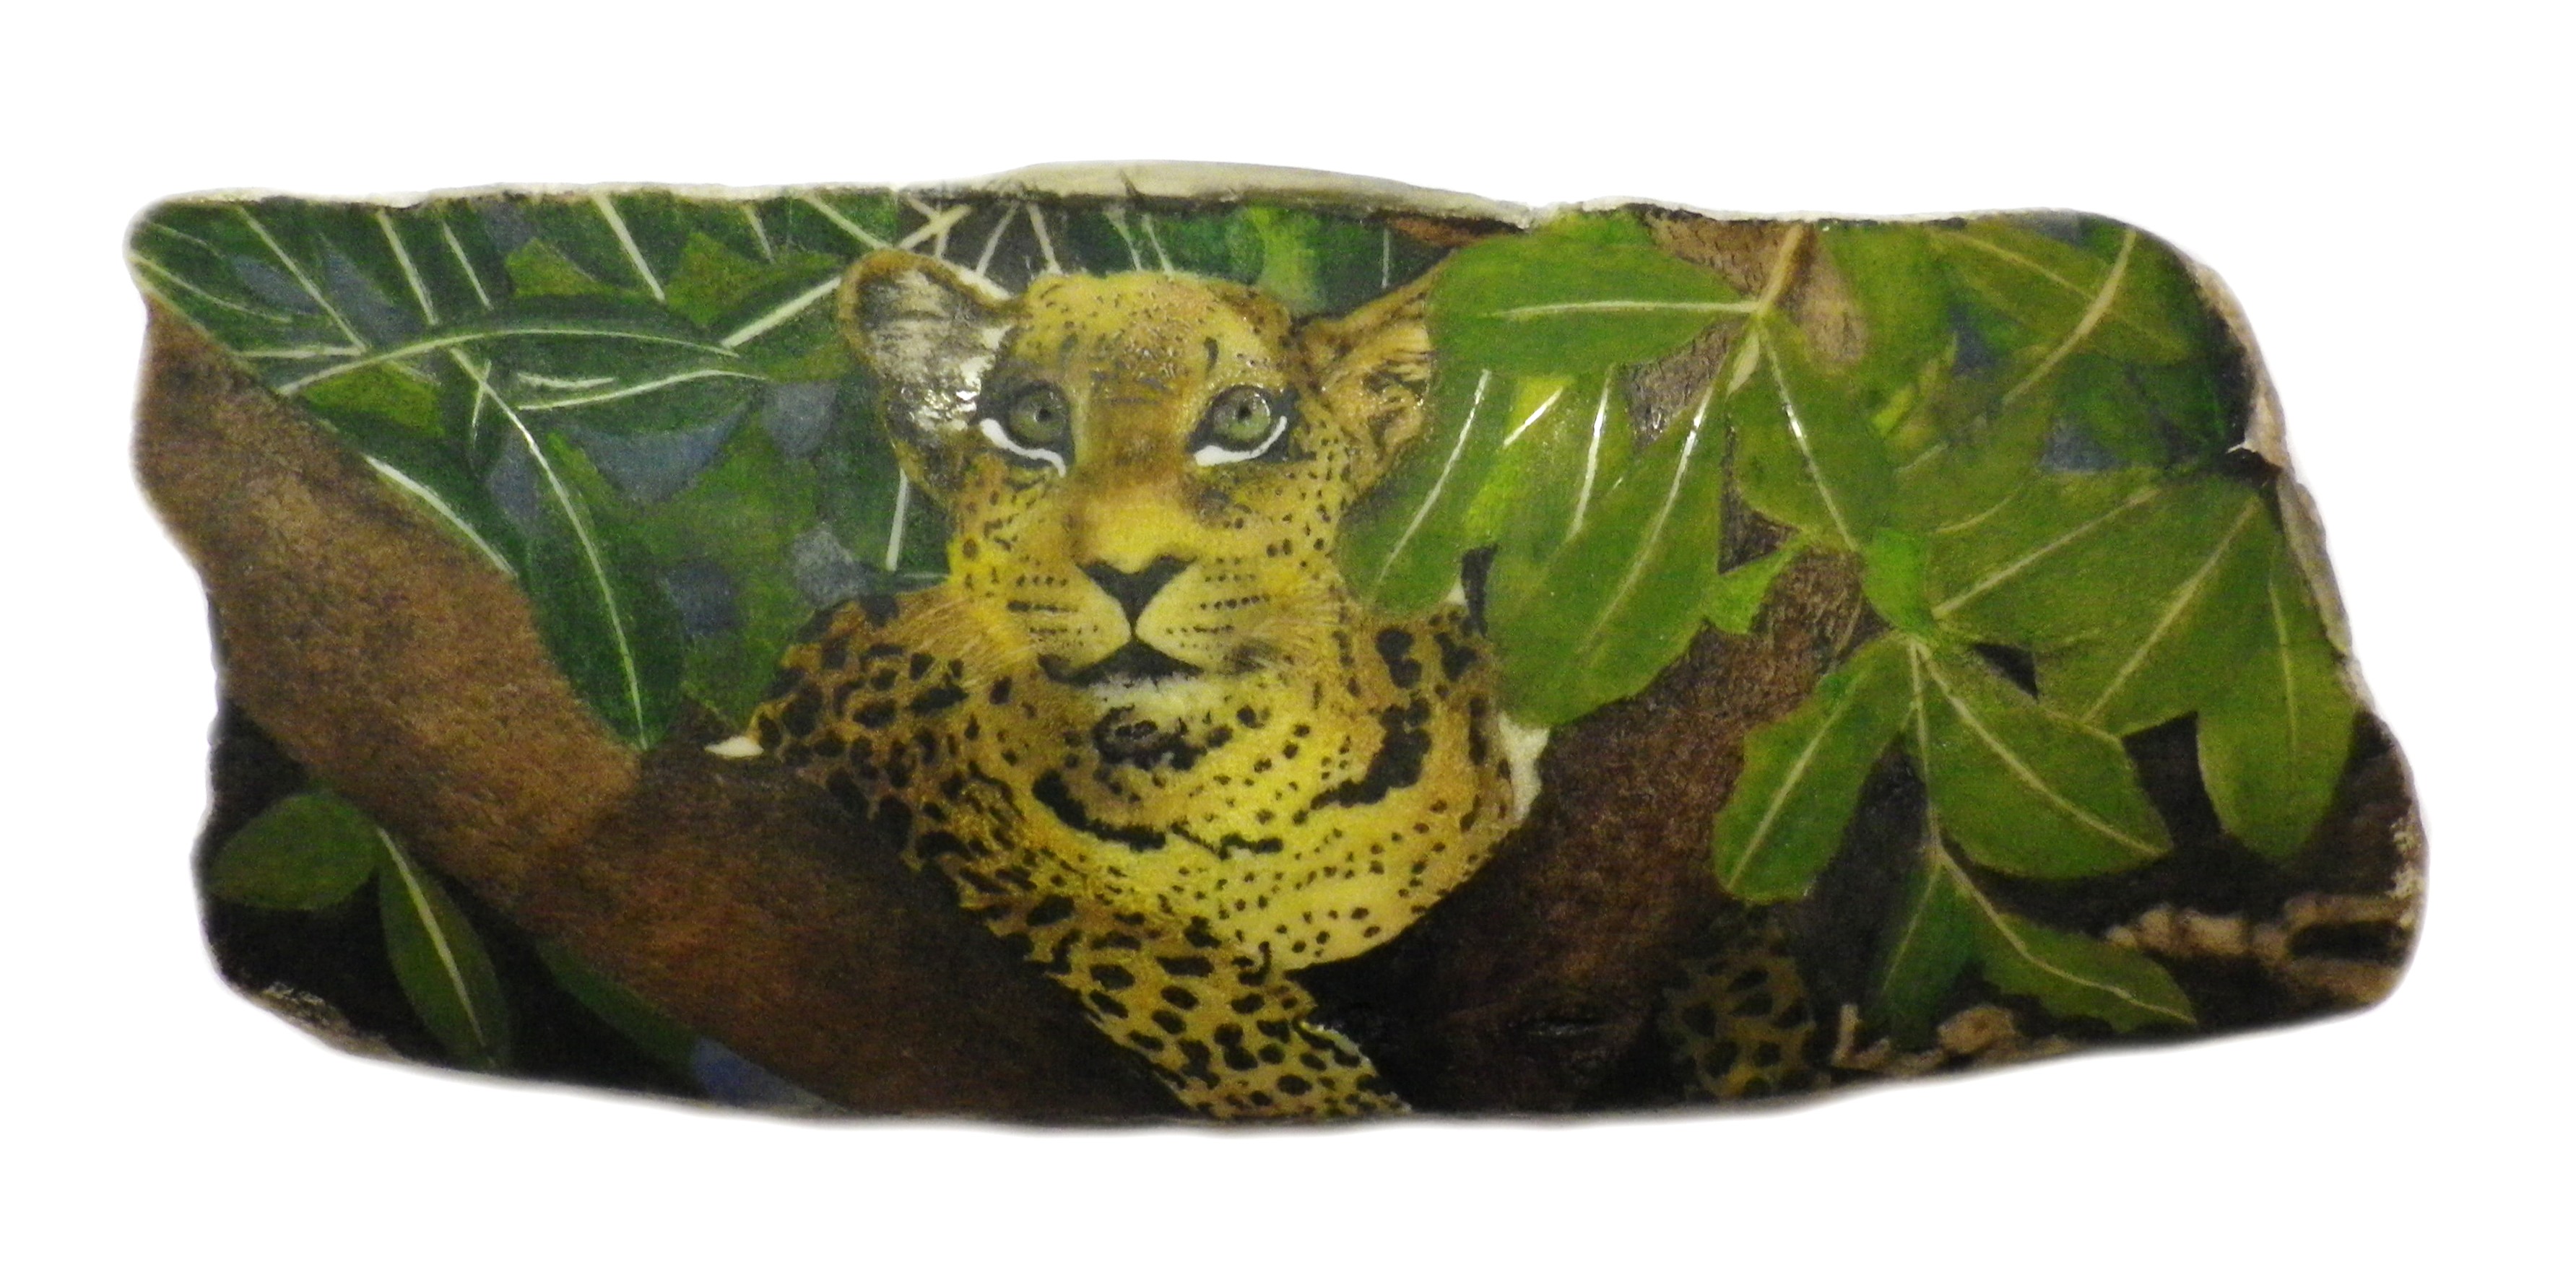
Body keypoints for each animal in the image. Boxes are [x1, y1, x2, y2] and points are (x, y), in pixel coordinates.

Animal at [734, 249, 1521, 1119]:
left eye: (1243, 418)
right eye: (1037, 418)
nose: (1131, 572)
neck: (1234, 779)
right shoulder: (844, 682)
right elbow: (1138, 952)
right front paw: (1318, 1094)